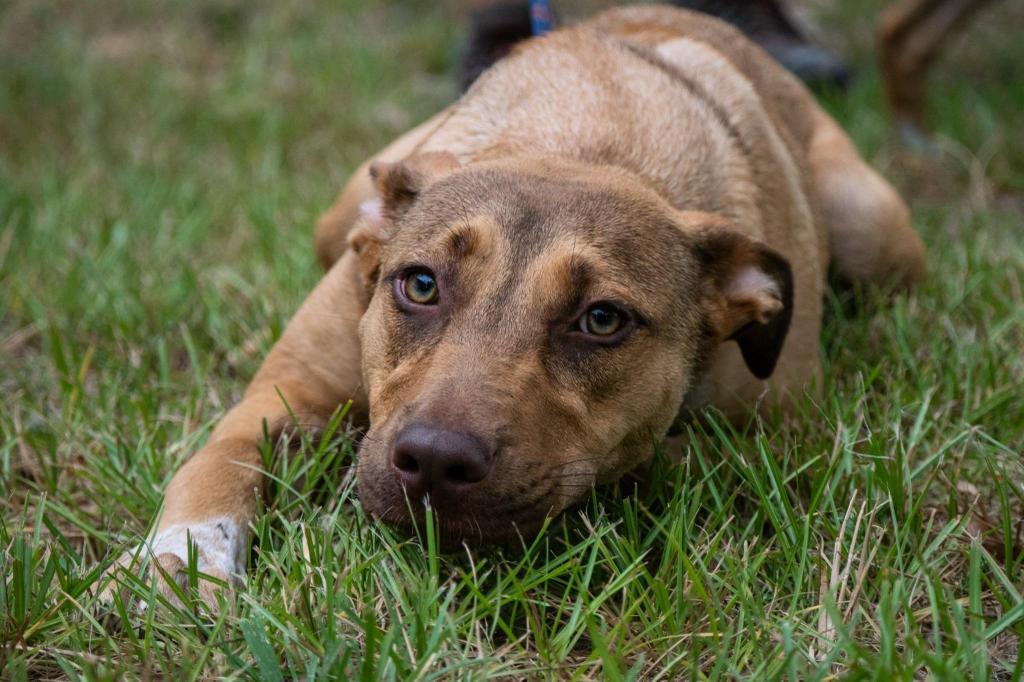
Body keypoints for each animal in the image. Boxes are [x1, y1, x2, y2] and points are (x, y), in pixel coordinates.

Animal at [103, 3, 929, 606]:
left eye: (602, 320)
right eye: (420, 284)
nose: (434, 462)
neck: (580, 143)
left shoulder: (774, 433)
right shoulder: (290, 387)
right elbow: (219, 457)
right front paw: (176, 564)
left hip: (873, 226)